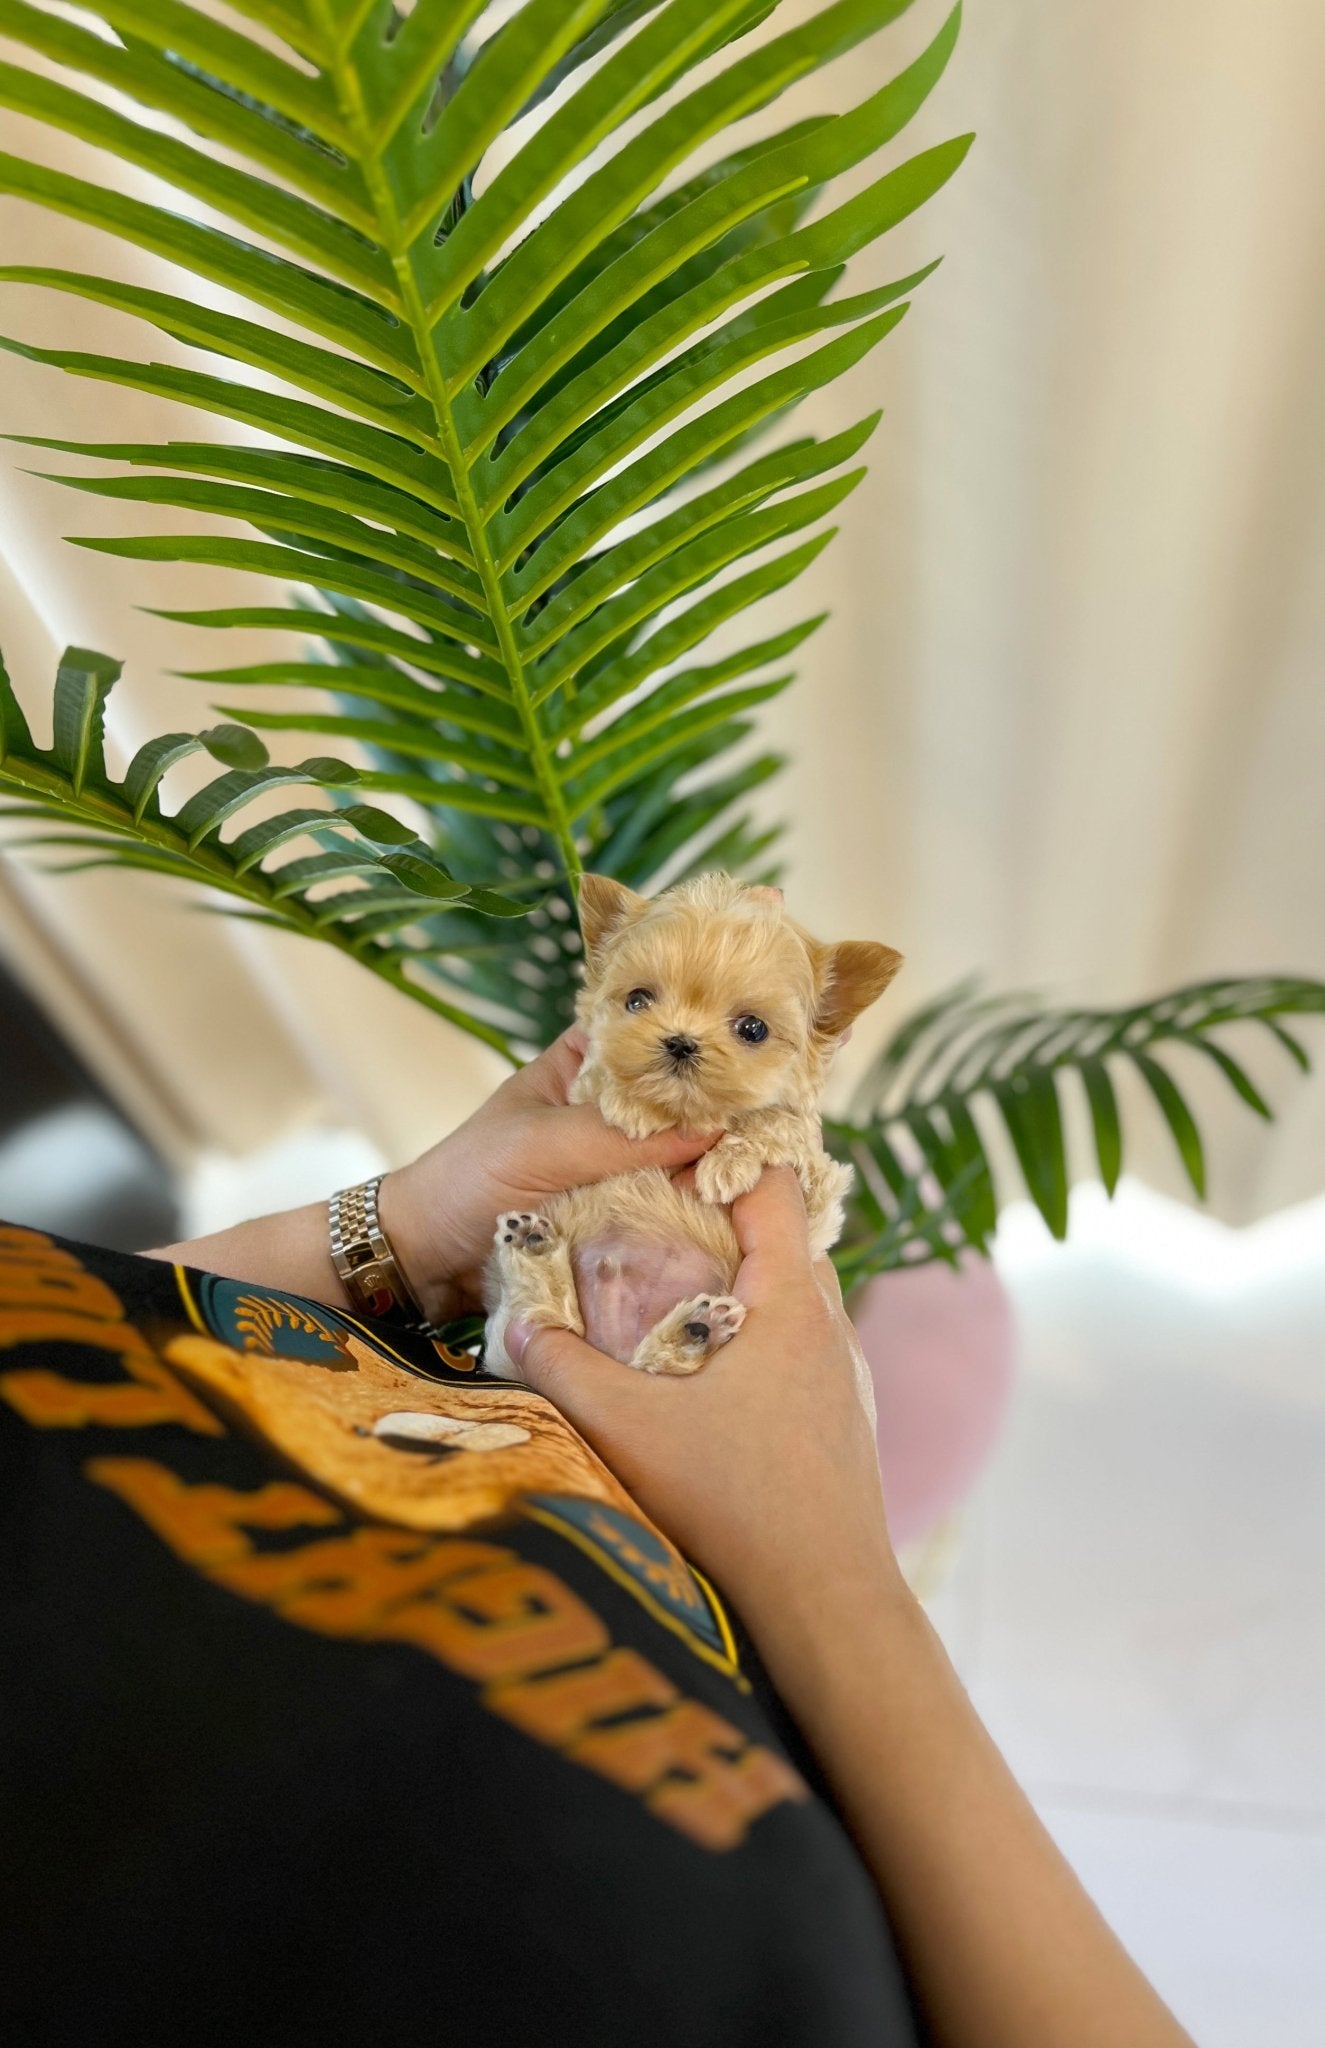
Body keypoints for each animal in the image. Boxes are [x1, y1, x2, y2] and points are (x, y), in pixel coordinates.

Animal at [481, 868, 905, 1376]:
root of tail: (614, 1347)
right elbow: (601, 1079)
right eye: (638, 1001)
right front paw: (634, 1107)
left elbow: (777, 1124)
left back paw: (692, 1332)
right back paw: (534, 1246)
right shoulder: (581, 1084)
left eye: (753, 1029)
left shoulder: (816, 1190)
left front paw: (726, 1164)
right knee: (550, 1311)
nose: (680, 1042)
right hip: (514, 1338)